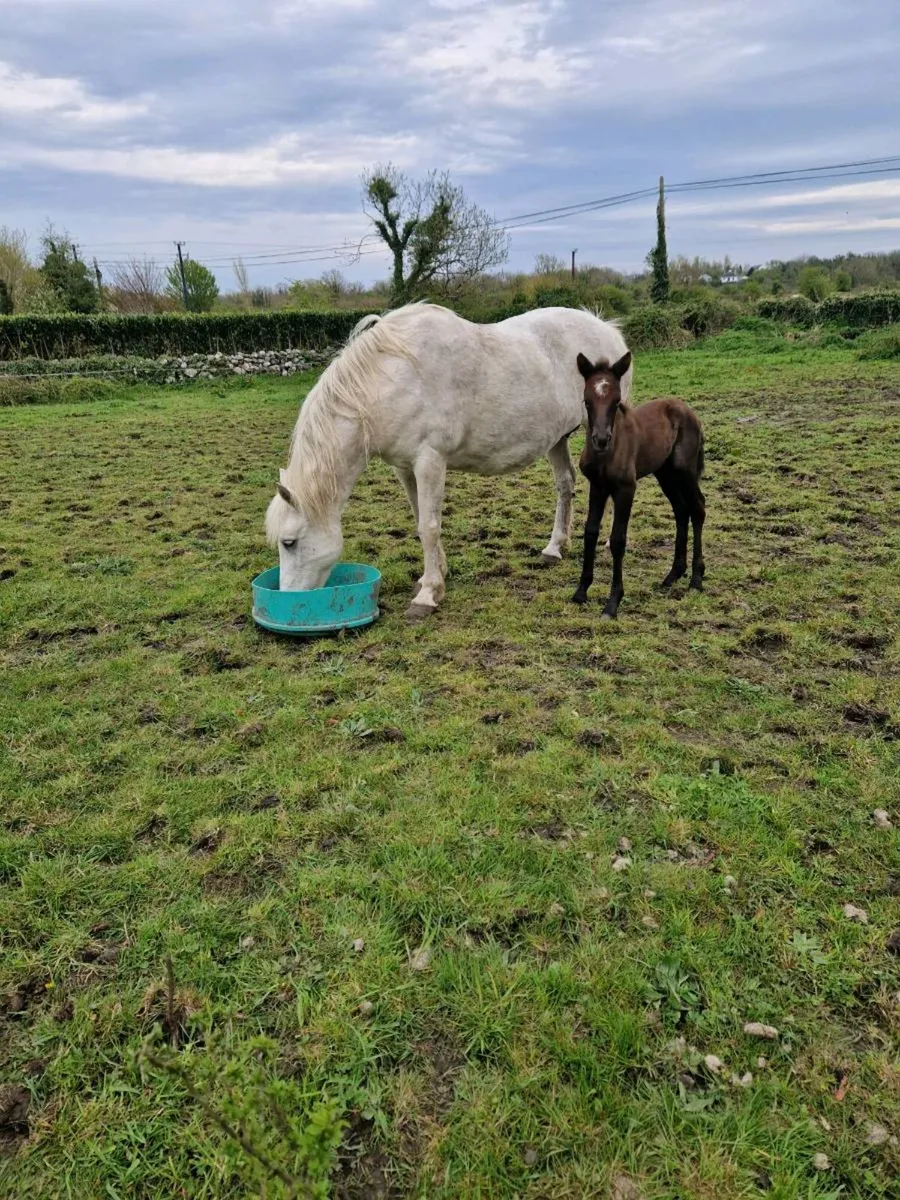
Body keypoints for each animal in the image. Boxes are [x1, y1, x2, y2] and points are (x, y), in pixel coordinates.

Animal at [265, 302, 632, 617]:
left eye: (289, 542)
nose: (290, 600)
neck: (392, 381)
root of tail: (607, 330)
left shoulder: (430, 461)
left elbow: (429, 527)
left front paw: (427, 596)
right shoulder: (404, 468)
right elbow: (420, 520)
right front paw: (436, 574)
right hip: (557, 439)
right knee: (564, 484)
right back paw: (554, 548)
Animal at [571, 351, 706, 619]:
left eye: (616, 401)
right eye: (587, 400)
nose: (601, 440)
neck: (607, 453)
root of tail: (688, 411)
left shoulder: (626, 488)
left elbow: (618, 539)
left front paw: (613, 603)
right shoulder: (598, 486)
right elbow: (590, 531)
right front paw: (581, 592)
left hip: (684, 471)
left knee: (698, 508)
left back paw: (696, 578)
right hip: (665, 474)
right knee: (681, 510)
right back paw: (673, 575)